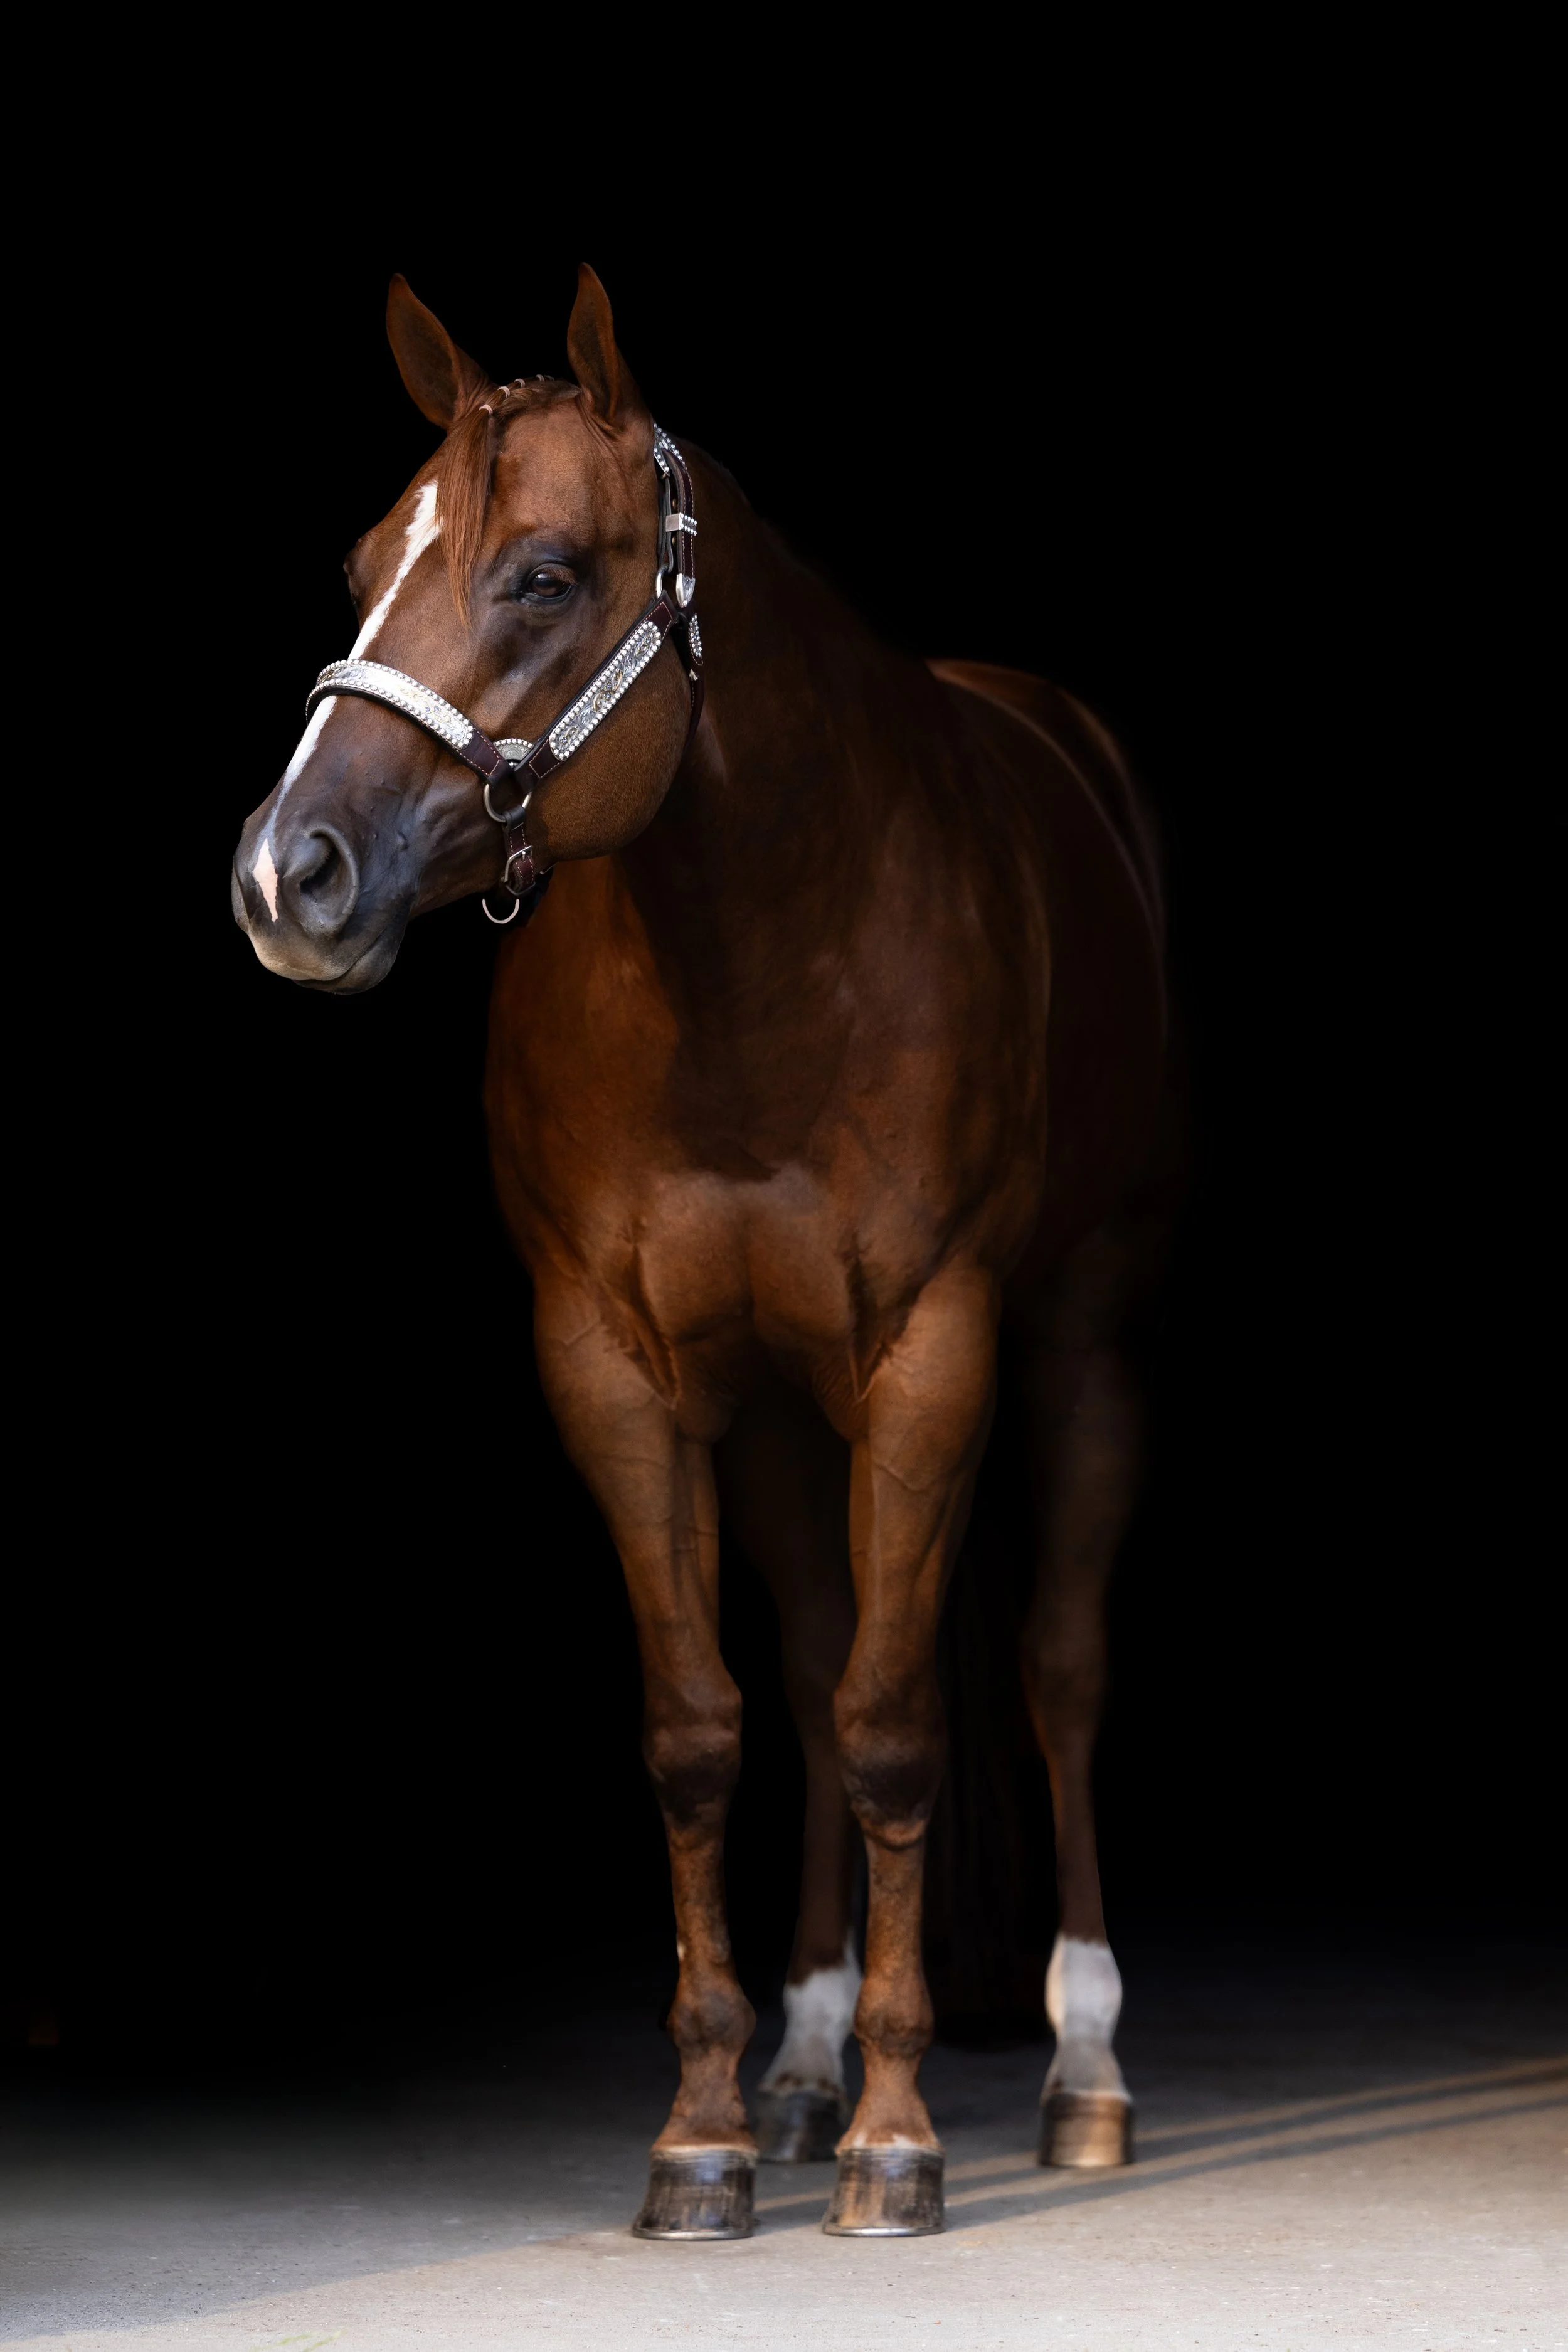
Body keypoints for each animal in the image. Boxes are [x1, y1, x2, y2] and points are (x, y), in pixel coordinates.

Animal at [232, 266, 1178, 2241]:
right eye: (363, 558)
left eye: (540, 574)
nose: (290, 875)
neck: (767, 951)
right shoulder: (615, 1366)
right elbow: (708, 1724)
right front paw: (711, 2129)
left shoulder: (937, 1351)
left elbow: (897, 1716)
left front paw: (899, 2140)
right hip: (777, 1415)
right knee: (807, 1669)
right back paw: (807, 2063)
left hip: (1083, 1338)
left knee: (1054, 1671)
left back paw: (1081, 2071)